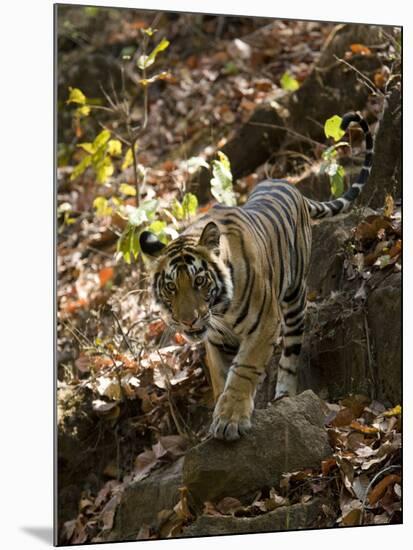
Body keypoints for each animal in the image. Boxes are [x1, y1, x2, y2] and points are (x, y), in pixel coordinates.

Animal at [139, 113, 374, 444]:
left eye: (199, 281)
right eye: (171, 287)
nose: (187, 321)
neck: (219, 310)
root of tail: (288, 183)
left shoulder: (265, 324)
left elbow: (243, 371)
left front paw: (230, 419)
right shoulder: (215, 340)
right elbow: (221, 377)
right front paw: (221, 411)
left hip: (294, 300)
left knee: (290, 353)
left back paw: (284, 396)